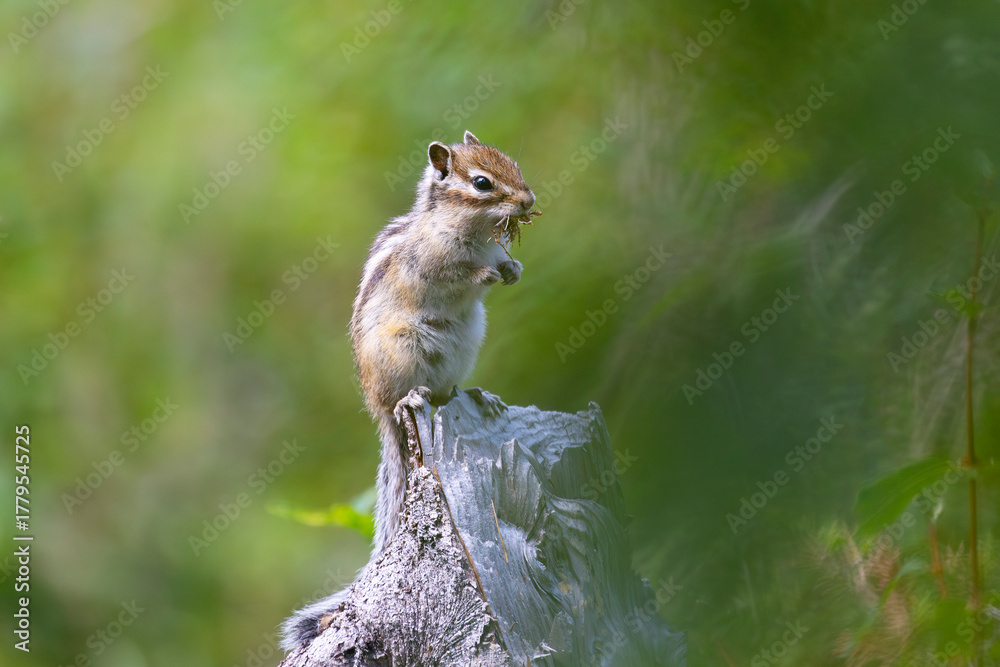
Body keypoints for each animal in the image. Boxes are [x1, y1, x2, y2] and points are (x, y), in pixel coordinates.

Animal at [281, 130, 536, 650]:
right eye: (482, 183)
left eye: (515, 166)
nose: (529, 201)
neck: (468, 230)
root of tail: (378, 409)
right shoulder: (431, 263)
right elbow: (456, 274)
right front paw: (484, 275)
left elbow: (504, 262)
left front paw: (514, 268)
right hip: (402, 351)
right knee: (410, 396)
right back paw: (409, 398)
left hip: (465, 344)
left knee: (448, 392)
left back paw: (478, 396)